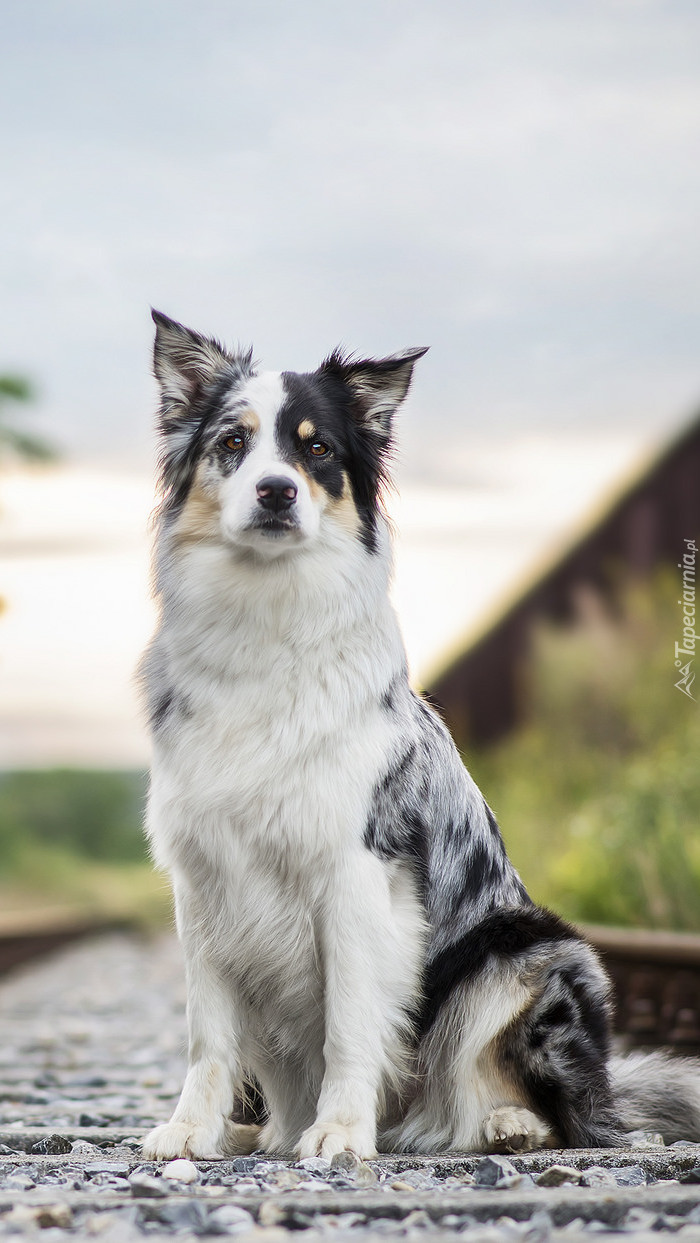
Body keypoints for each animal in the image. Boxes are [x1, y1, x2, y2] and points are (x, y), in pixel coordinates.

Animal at [139, 313, 696, 1163]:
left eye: (317, 450)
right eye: (233, 442)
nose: (277, 490)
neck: (266, 615)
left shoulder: (356, 873)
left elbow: (348, 1020)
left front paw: (339, 1131)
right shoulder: (203, 879)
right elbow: (209, 1034)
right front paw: (192, 1129)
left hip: (528, 953)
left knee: (552, 1109)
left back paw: (508, 1123)